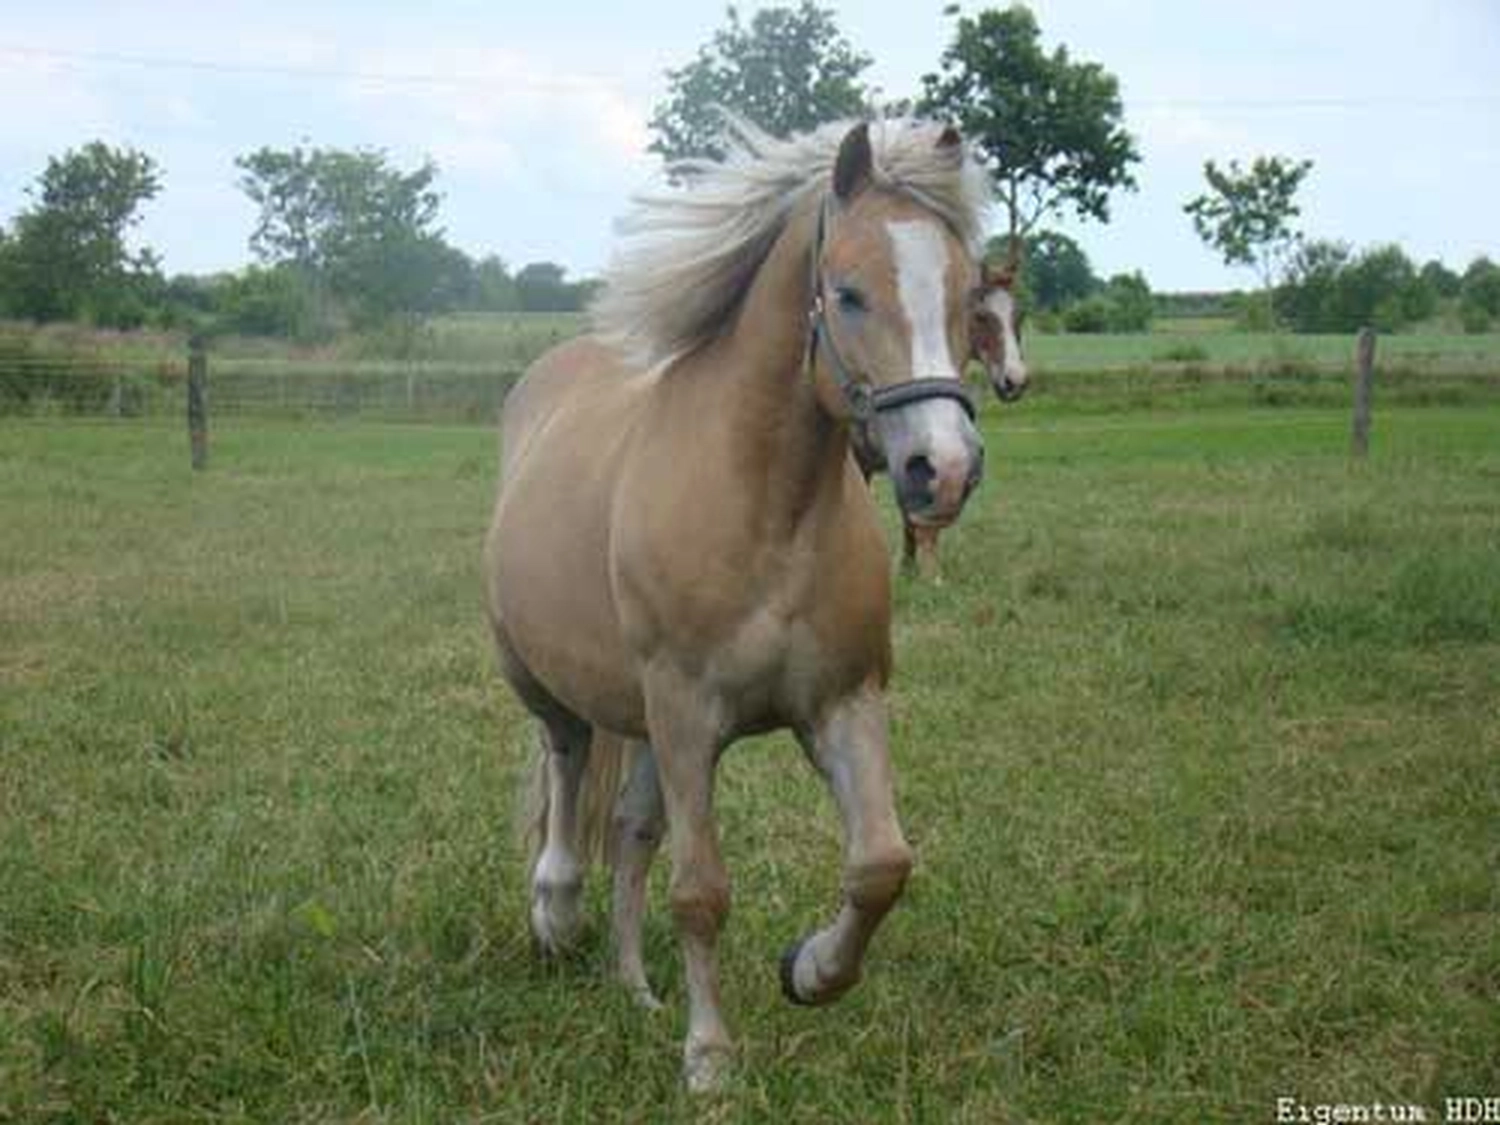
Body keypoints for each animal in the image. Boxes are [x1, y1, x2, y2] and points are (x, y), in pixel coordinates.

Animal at [483, 117, 991, 1091]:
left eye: (965, 294)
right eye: (849, 292)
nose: (941, 470)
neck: (766, 510)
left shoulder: (843, 702)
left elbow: (881, 864)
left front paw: (810, 968)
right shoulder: (687, 715)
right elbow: (702, 891)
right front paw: (710, 1059)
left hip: (642, 719)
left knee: (632, 829)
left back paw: (635, 987)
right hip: (542, 676)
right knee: (566, 761)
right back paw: (555, 912)